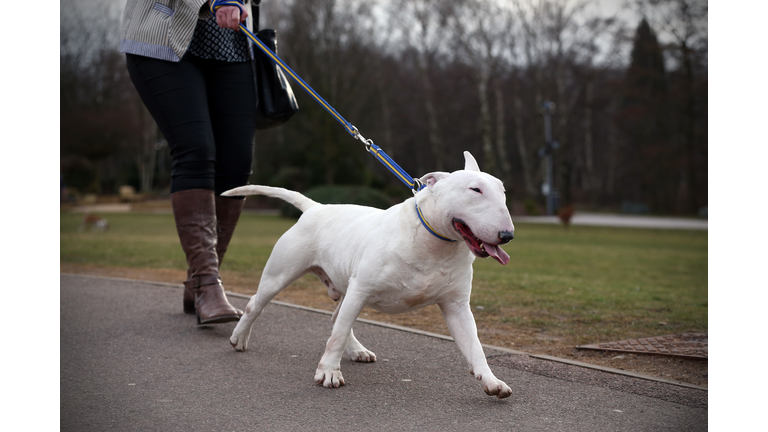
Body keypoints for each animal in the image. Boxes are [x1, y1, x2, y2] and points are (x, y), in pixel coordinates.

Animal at [224, 151, 516, 398]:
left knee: (336, 317)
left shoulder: (456, 306)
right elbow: (338, 335)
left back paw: (358, 351)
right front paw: (328, 372)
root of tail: (315, 207)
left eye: (503, 192)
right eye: (475, 189)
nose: (507, 235)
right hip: (282, 274)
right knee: (257, 305)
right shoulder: (361, 289)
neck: (433, 244)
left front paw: (492, 382)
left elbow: (475, 346)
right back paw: (239, 338)